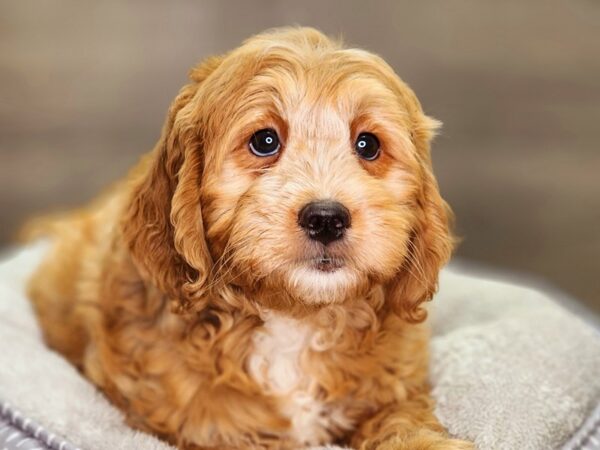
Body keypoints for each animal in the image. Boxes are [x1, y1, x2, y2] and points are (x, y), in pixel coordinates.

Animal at [27, 28, 474, 450]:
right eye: (265, 141)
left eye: (368, 145)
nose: (326, 218)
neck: (294, 318)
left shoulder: (395, 385)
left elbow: (399, 419)